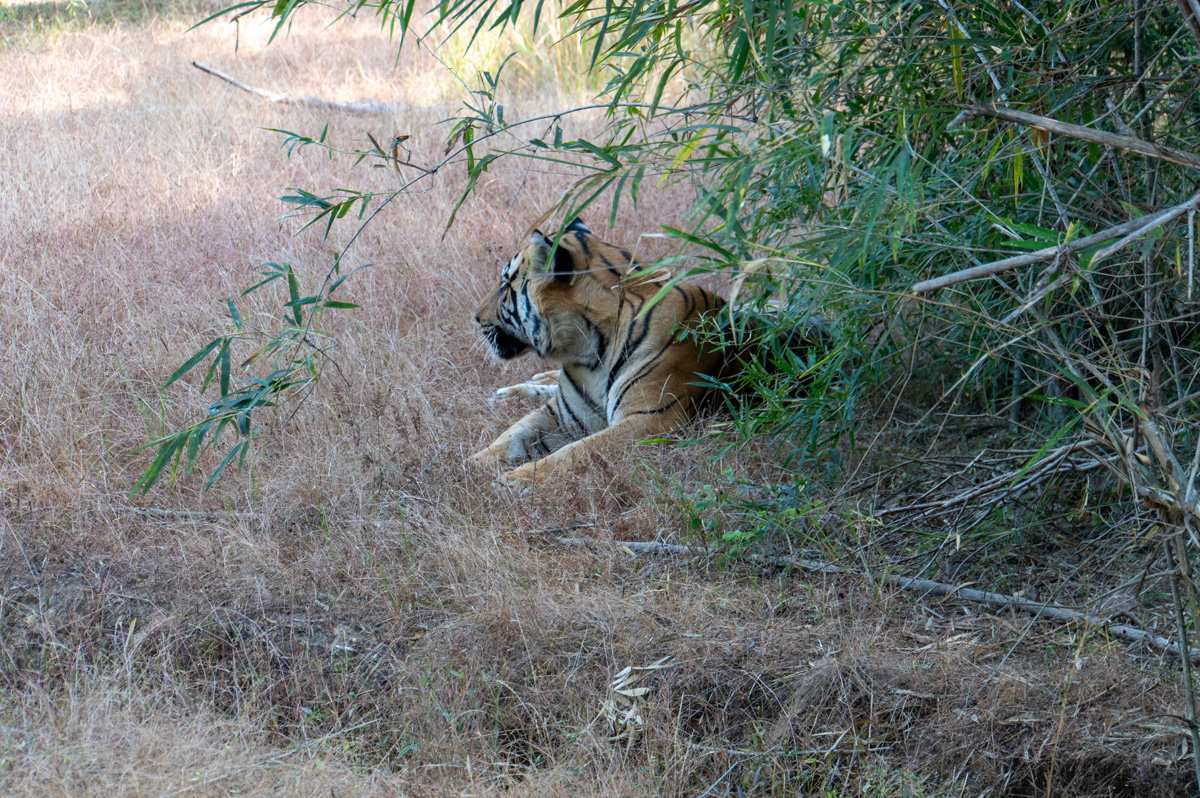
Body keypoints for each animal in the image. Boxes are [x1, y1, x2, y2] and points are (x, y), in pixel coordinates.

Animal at [471, 218, 729, 488]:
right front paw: (469, 466)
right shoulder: (563, 414)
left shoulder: (650, 421)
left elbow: (576, 451)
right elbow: (513, 434)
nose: (475, 316)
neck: (589, 351)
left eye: (505, 284)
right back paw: (508, 395)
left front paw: (514, 480)